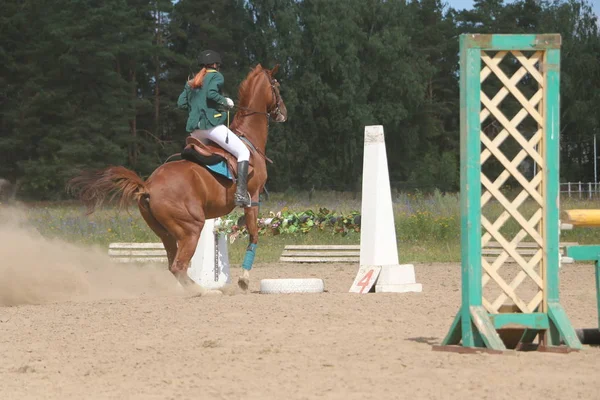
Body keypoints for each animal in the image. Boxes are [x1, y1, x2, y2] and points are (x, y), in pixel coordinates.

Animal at [67, 65, 288, 290]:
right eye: (276, 86)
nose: (283, 112)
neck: (248, 136)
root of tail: (147, 186)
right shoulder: (253, 198)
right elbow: (254, 235)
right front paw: (243, 279)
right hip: (191, 228)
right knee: (178, 266)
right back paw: (203, 291)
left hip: (166, 232)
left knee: (173, 264)